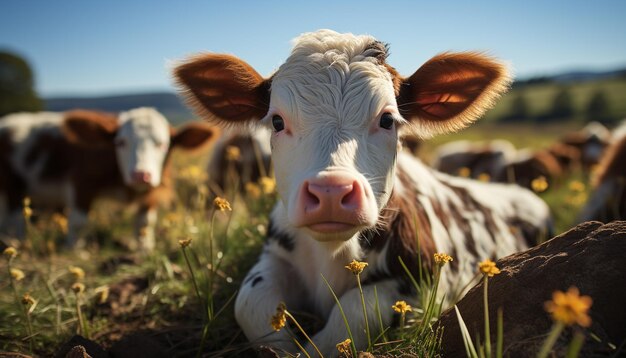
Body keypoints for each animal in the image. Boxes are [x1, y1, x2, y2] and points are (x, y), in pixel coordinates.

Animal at [0, 107, 216, 250]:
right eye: (120, 142)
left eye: (163, 144)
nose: (141, 175)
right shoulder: (82, 183)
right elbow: (79, 221)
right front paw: (74, 250)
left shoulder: (151, 190)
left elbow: (145, 222)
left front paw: (145, 249)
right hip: (13, 184)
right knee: (15, 216)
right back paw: (16, 242)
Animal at [173, 30, 548, 356]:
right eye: (277, 121)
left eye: (387, 120)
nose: (330, 191)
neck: (331, 254)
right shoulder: (275, 255)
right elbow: (250, 302)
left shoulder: (422, 283)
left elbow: (354, 312)